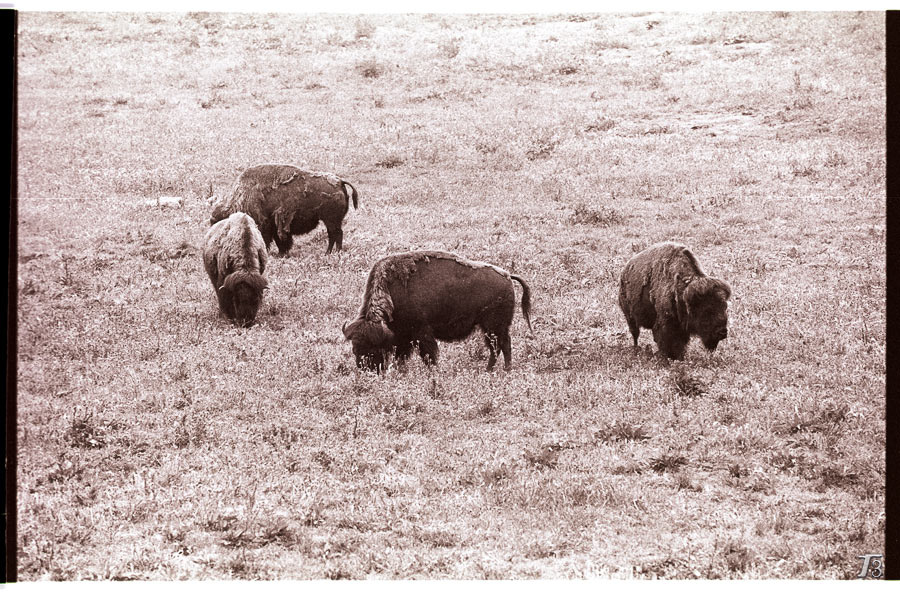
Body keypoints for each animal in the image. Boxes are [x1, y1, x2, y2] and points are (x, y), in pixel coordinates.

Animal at [211, 164, 359, 255]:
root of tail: (340, 182)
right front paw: (282, 253)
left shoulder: (266, 225)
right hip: (331, 221)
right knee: (334, 234)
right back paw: (330, 252)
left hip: (331, 220)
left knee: (336, 234)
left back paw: (332, 252)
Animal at [343, 250, 533, 372]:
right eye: (354, 348)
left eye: (373, 347)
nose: (366, 370)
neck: (391, 293)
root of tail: (508, 276)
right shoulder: (404, 336)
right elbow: (402, 355)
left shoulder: (421, 332)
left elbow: (428, 354)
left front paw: (433, 371)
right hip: (490, 328)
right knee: (497, 347)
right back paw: (492, 370)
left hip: (494, 326)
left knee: (502, 345)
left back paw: (504, 370)